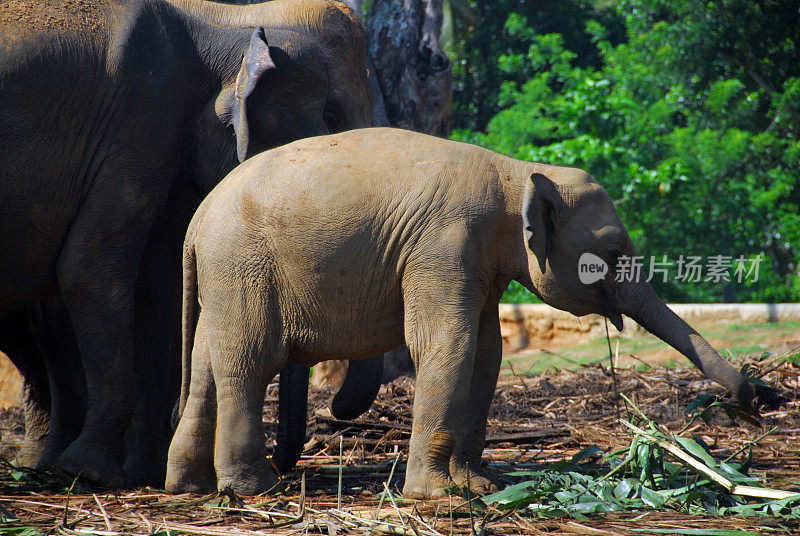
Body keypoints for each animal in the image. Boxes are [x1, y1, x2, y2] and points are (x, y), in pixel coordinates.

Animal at [0, 0, 370, 488]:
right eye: (332, 120)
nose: (283, 463)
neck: (216, 26)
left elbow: (158, 285)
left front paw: (143, 475)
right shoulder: (140, 122)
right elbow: (89, 268)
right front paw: (93, 472)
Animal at [166, 126, 752, 498]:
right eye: (611, 252)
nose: (751, 396)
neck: (515, 172)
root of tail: (194, 223)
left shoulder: (480, 262)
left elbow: (487, 353)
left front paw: (479, 486)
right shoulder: (446, 243)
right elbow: (449, 343)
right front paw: (438, 497)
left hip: (224, 275)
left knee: (206, 368)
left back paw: (189, 487)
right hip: (243, 264)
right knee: (249, 361)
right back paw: (254, 489)